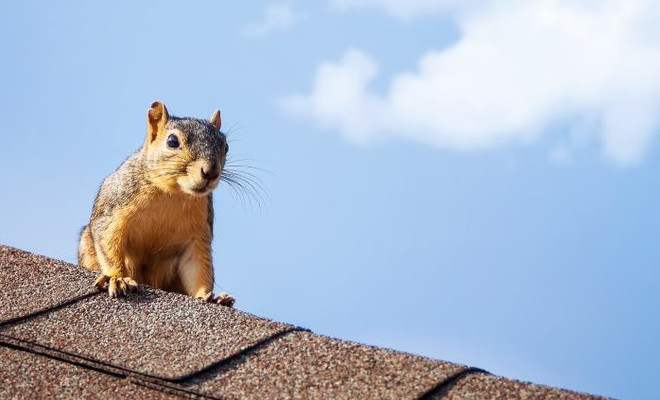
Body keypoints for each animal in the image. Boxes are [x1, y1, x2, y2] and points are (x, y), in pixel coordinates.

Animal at [77, 101, 235, 306]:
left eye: (226, 147)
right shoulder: (114, 210)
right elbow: (109, 241)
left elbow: (197, 266)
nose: (211, 171)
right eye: (172, 141)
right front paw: (117, 278)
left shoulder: (197, 233)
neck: (173, 193)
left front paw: (208, 296)